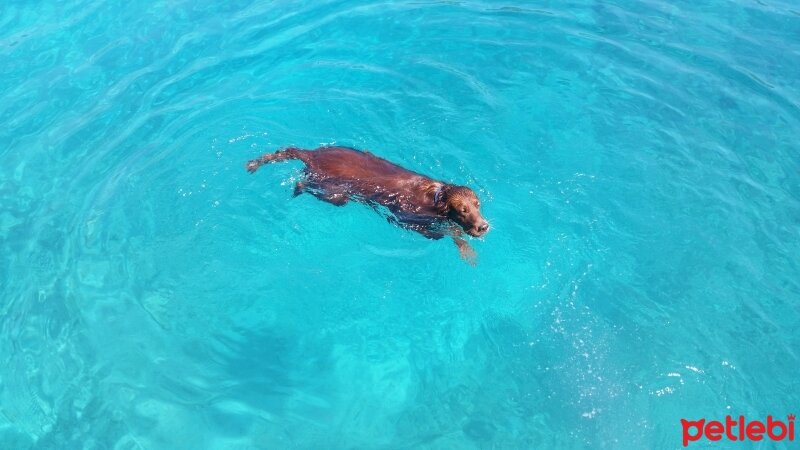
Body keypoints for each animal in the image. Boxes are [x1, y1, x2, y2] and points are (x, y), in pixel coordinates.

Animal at [247, 146, 490, 262]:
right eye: (463, 210)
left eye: (478, 204)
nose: (483, 226)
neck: (437, 196)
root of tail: (312, 153)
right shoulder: (410, 220)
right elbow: (446, 234)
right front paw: (465, 247)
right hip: (336, 195)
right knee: (302, 184)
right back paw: (296, 189)